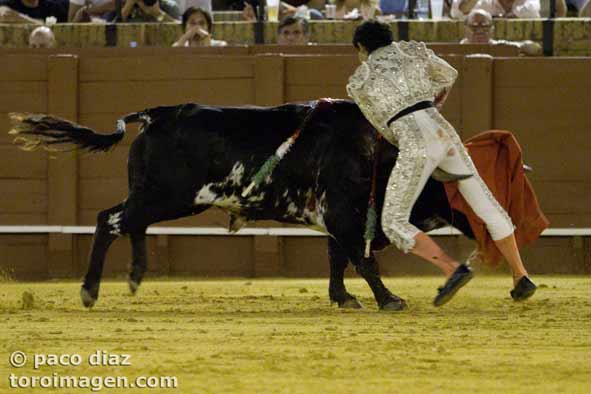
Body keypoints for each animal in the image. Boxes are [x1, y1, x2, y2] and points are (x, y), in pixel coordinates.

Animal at [11, 99, 478, 310]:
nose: (476, 224)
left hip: (155, 196)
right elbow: (362, 261)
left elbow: (337, 260)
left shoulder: (336, 220)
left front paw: (343, 298)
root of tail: (156, 114)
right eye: (450, 192)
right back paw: (91, 290)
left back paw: (132, 277)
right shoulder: (343, 214)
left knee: (124, 222)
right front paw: (389, 300)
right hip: (170, 197)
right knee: (111, 220)